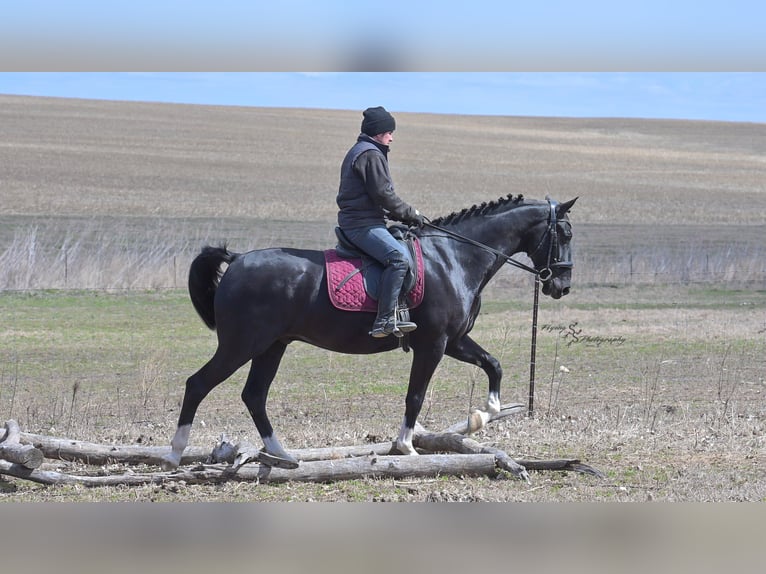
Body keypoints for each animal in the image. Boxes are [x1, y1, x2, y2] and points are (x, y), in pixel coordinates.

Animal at [161, 194, 577, 470]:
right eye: (566, 233)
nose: (562, 286)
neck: (455, 258)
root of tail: (237, 260)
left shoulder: (455, 341)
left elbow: (493, 364)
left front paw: (486, 412)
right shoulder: (434, 344)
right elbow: (415, 396)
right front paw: (405, 446)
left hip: (271, 346)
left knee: (254, 395)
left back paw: (282, 454)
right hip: (242, 344)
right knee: (198, 384)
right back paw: (175, 453)